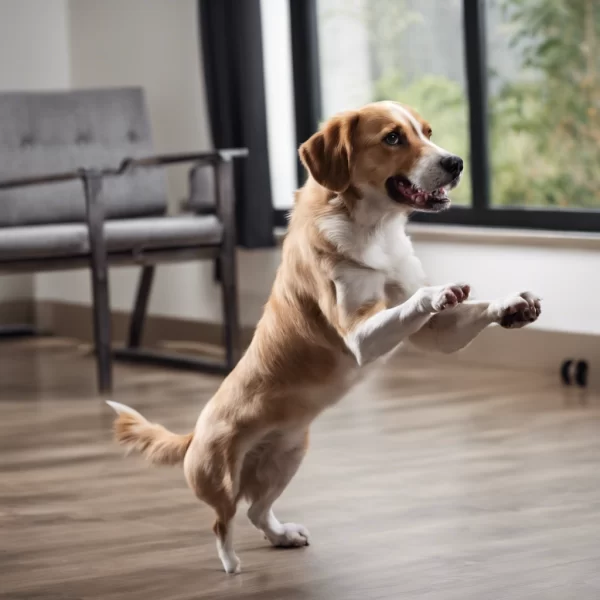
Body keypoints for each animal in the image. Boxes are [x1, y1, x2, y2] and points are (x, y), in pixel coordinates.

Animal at [105, 101, 540, 576]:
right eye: (393, 138)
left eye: (427, 132)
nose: (456, 162)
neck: (375, 229)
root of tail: (193, 433)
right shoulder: (359, 335)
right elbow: (412, 303)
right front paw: (437, 292)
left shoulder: (434, 334)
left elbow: (465, 310)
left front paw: (512, 306)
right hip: (221, 476)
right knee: (223, 521)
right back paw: (231, 563)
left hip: (288, 457)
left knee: (257, 510)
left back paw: (282, 536)